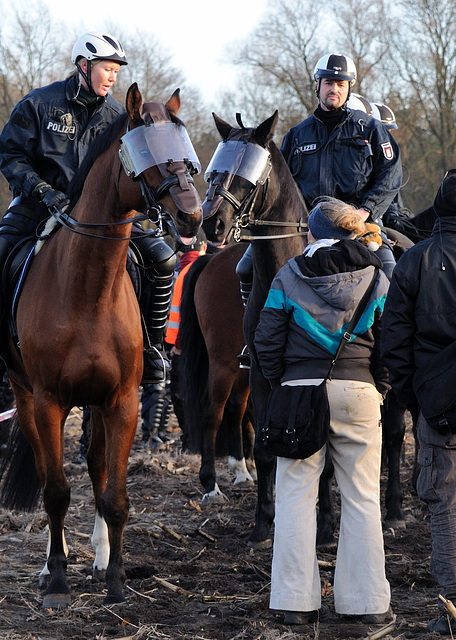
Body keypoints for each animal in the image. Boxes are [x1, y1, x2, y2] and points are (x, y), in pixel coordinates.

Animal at [0, 82, 201, 608]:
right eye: (146, 154)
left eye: (184, 150)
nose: (192, 214)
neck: (87, 288)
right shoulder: (49, 402)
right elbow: (55, 491)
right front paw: (56, 580)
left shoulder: (122, 401)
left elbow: (115, 495)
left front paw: (115, 579)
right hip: (26, 398)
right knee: (51, 473)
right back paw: (56, 561)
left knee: (94, 468)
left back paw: (100, 554)